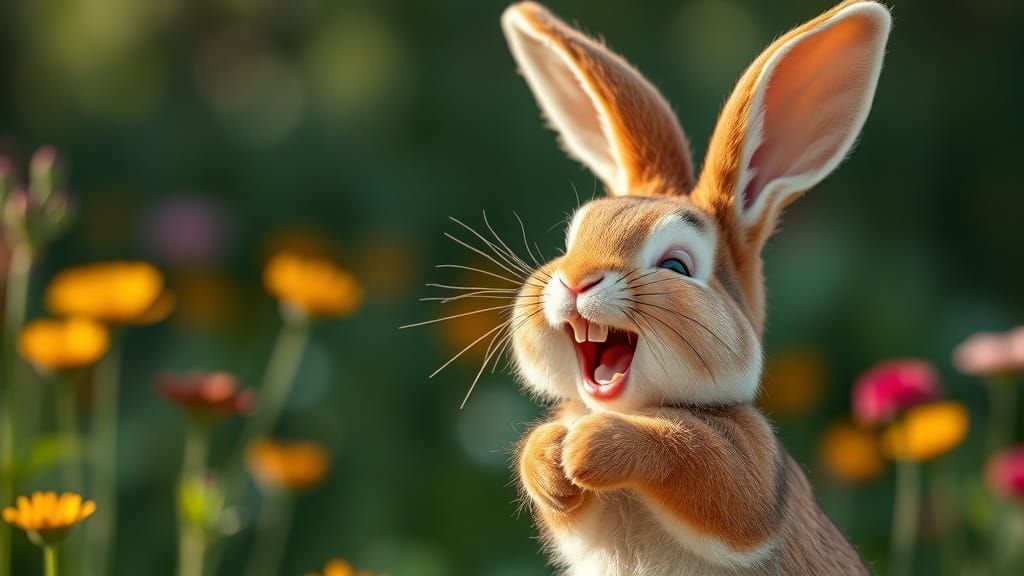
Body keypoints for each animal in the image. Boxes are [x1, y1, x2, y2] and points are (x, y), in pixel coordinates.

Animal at [498, 1, 891, 574]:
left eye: (676, 265)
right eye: (570, 241)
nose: (574, 280)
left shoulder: (750, 473)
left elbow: (697, 465)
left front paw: (587, 447)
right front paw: (550, 456)